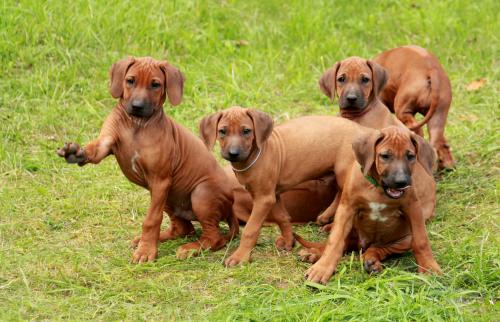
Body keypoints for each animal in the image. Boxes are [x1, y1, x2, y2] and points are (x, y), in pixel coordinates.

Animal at [57, 56, 237, 262]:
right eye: (130, 81)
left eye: (155, 84)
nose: (137, 106)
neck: (137, 125)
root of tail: (231, 206)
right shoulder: (107, 142)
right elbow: (94, 150)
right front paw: (75, 152)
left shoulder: (160, 181)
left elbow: (151, 219)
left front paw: (146, 251)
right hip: (169, 197)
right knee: (184, 228)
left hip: (199, 193)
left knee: (215, 238)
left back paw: (190, 249)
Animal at [200, 106, 372, 266]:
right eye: (222, 131)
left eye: (246, 131)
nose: (233, 153)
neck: (256, 155)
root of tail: (364, 130)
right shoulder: (273, 195)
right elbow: (282, 218)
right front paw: (289, 241)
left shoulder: (263, 199)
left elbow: (250, 229)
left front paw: (240, 256)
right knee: (340, 191)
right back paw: (326, 215)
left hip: (344, 170)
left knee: (344, 192)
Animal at [296, 126, 442, 284]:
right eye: (385, 156)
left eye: (410, 156)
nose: (401, 182)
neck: (378, 188)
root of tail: (364, 244)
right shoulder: (346, 208)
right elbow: (334, 241)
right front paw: (322, 268)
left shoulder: (413, 208)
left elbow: (421, 240)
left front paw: (429, 267)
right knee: (343, 243)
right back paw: (314, 253)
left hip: (405, 238)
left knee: (377, 249)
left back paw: (372, 262)